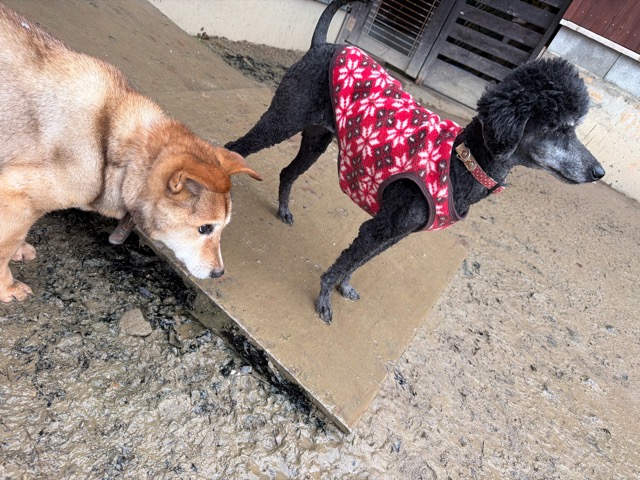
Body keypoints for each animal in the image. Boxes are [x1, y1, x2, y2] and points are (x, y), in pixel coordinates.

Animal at [0, 3, 261, 303]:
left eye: (223, 227)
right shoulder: (14, 190)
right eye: (205, 228)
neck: (115, 146)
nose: (219, 273)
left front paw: (19, 250)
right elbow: (5, 245)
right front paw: (7, 287)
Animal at [225, 0, 605, 324]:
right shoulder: (380, 227)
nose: (598, 172)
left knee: (288, 172)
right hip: (283, 119)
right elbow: (343, 262)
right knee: (234, 148)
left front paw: (344, 287)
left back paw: (283, 210)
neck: (461, 162)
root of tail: (323, 46)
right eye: (561, 127)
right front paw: (323, 300)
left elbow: (357, 263)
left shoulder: (396, 233)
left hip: (316, 139)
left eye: (573, 127)